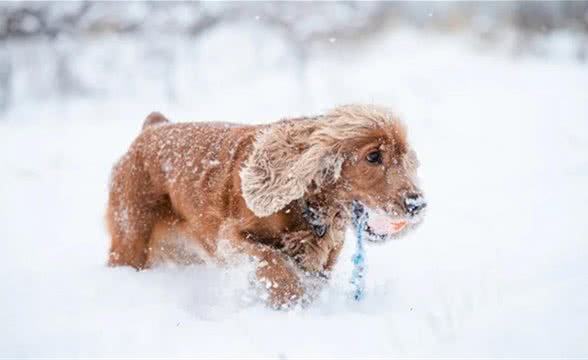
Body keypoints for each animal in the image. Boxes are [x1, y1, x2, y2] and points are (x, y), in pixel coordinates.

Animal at [107, 104, 428, 306]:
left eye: (405, 157)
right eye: (373, 156)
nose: (418, 203)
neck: (305, 205)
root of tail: (152, 128)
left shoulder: (325, 259)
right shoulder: (231, 237)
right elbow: (272, 259)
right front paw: (287, 300)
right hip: (131, 237)